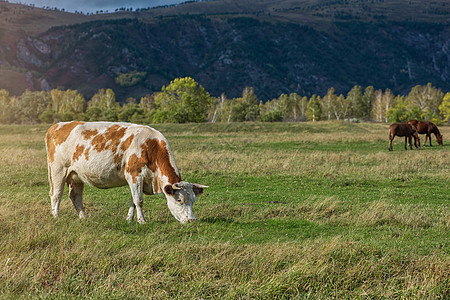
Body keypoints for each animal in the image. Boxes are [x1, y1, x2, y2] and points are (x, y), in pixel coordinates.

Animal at [45, 120, 207, 224]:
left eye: (193, 200)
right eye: (179, 200)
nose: (192, 220)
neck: (151, 146)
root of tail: (57, 125)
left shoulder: (135, 179)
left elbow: (132, 201)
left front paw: (129, 219)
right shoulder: (134, 175)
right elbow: (139, 200)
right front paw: (142, 221)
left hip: (76, 176)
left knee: (75, 196)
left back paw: (83, 217)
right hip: (58, 170)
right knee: (56, 194)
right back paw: (56, 217)